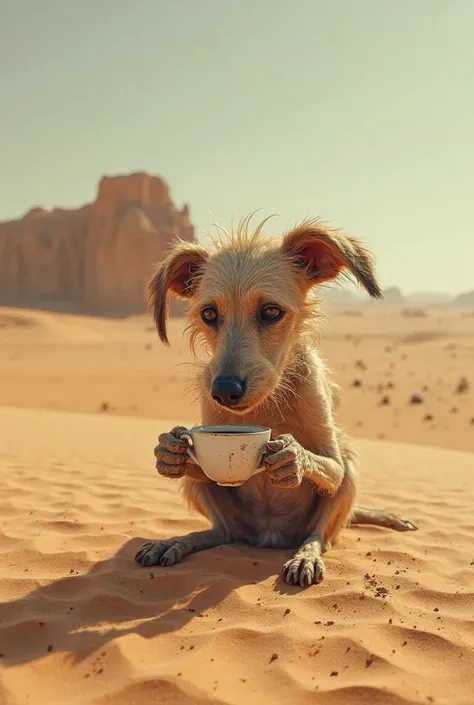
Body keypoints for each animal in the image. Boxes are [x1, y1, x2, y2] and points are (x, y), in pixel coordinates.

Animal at [135, 217, 416, 584]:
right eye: (209, 314)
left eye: (271, 311)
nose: (224, 390)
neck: (265, 406)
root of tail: (269, 536)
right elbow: (195, 462)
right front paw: (169, 452)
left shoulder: (334, 459)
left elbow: (328, 466)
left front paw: (291, 458)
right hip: (215, 507)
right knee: (222, 532)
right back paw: (178, 541)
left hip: (347, 478)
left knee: (318, 535)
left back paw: (306, 555)